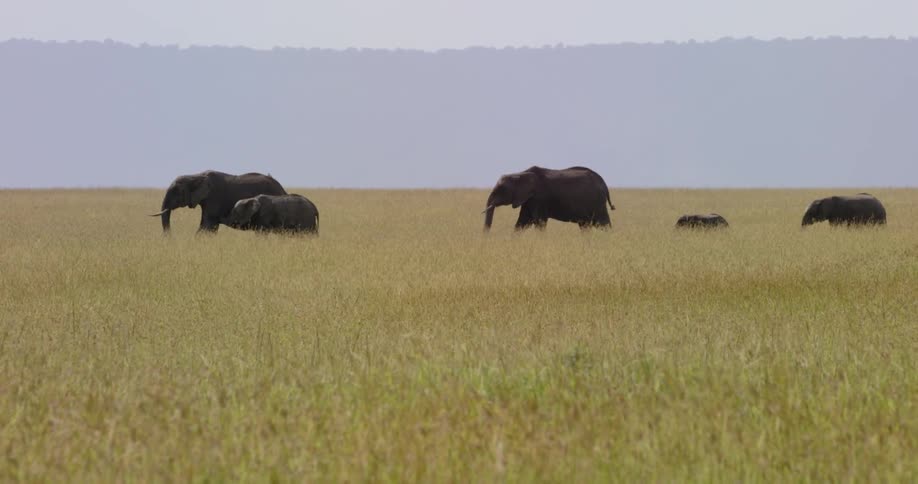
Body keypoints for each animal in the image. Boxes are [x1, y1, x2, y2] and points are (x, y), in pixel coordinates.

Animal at [483, 166, 615, 231]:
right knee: (585, 225)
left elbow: (539, 223)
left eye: (500, 190)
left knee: (603, 224)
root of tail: (603, 182)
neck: (520, 174)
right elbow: (522, 222)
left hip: (598, 203)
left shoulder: (539, 199)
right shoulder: (529, 200)